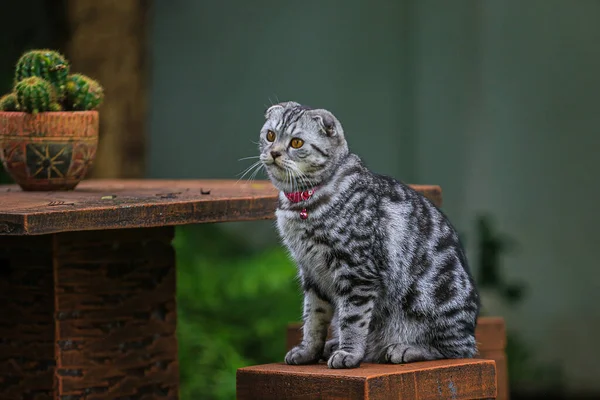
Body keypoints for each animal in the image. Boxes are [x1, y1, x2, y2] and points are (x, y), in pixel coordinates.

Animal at [256, 101, 478, 368]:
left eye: (296, 142)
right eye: (270, 136)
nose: (274, 152)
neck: (303, 203)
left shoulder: (357, 273)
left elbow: (352, 320)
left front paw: (349, 353)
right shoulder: (312, 274)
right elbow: (313, 319)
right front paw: (308, 351)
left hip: (431, 301)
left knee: (457, 350)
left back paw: (403, 348)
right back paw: (333, 346)